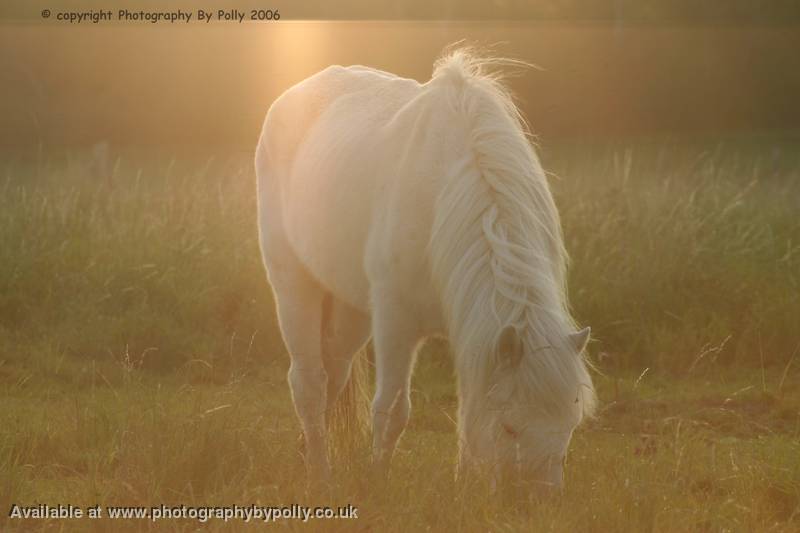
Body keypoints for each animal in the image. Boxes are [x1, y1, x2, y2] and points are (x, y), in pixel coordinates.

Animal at [255, 47, 592, 488]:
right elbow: (392, 410)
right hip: (294, 287)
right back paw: (320, 474)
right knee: (309, 383)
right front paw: (377, 482)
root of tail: (291, 97)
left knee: (333, 374)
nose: (538, 499)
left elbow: (468, 412)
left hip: (351, 312)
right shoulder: (396, 322)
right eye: (510, 429)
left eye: (569, 428)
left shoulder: (473, 329)